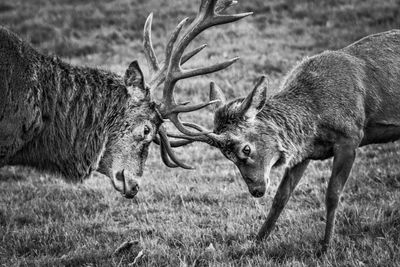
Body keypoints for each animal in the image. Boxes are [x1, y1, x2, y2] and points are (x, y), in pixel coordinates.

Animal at [168, 30, 400, 252]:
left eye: (246, 149)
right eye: (227, 157)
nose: (256, 190)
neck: (316, 115)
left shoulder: (351, 137)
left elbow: (332, 195)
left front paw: (325, 247)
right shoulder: (304, 151)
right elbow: (281, 197)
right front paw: (255, 243)